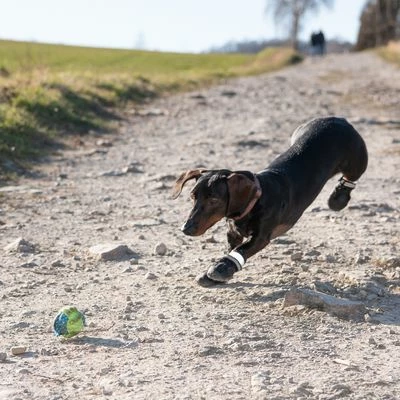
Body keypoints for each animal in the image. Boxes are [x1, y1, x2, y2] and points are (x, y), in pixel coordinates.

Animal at [172, 117, 368, 287]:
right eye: (192, 196)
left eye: (214, 199)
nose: (185, 229)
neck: (257, 200)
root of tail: (339, 119)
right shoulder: (233, 232)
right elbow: (231, 248)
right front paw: (214, 273)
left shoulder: (261, 237)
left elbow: (242, 249)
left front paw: (221, 268)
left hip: (356, 162)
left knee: (350, 178)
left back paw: (338, 199)